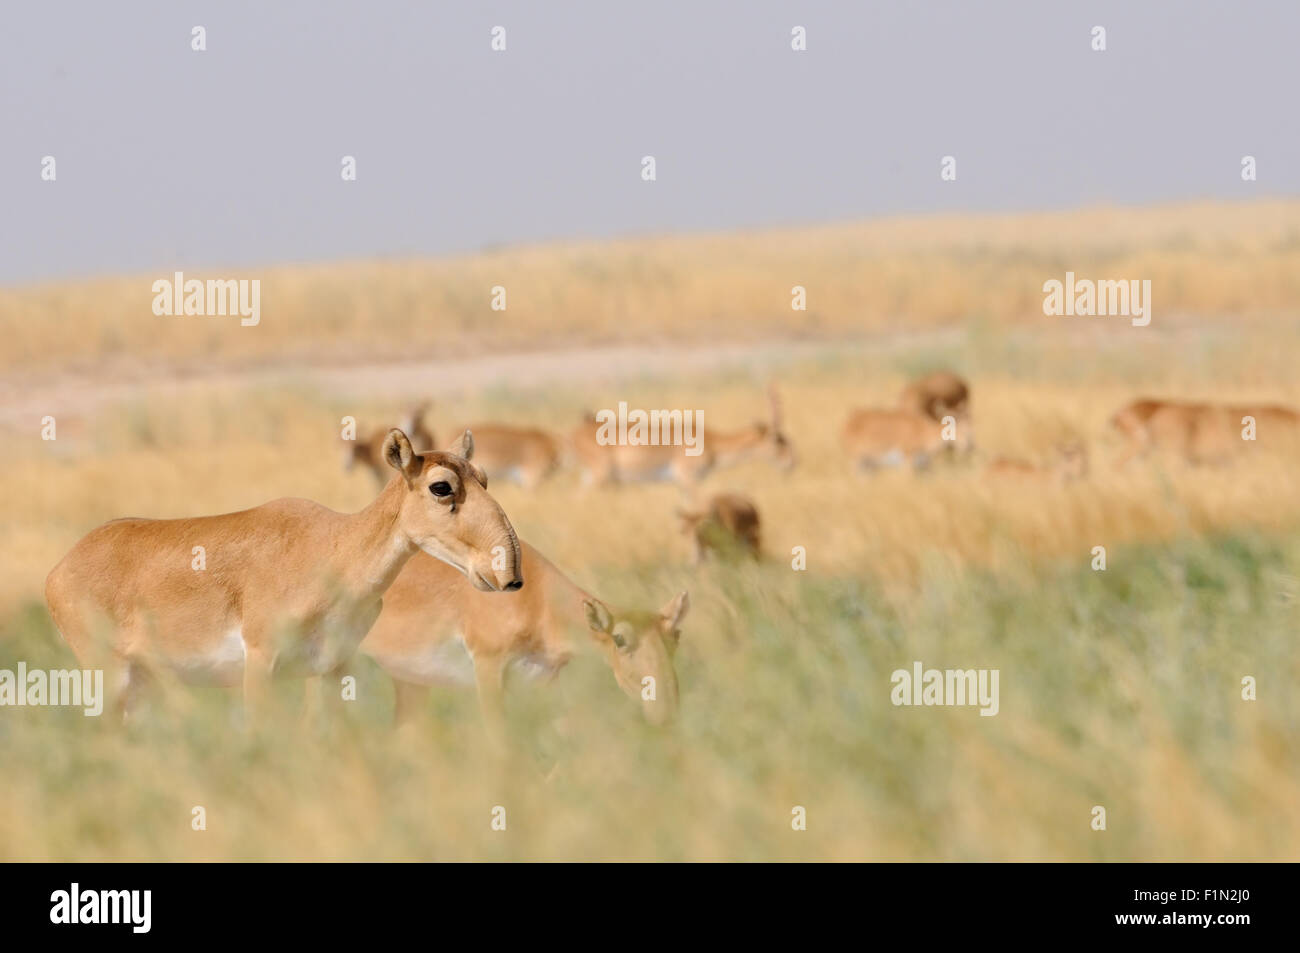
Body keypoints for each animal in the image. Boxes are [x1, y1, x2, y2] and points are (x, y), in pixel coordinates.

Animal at [45, 426, 522, 722]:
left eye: (482, 477)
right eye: (441, 486)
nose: (509, 576)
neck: (332, 549)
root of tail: (57, 572)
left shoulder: (330, 669)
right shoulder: (260, 663)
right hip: (109, 678)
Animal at [356, 543, 691, 743]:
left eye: (675, 636)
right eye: (620, 638)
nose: (666, 712)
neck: (537, 596)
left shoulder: (544, 680)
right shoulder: (488, 667)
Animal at [572, 382, 795, 483]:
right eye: (778, 439)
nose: (794, 461)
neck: (712, 443)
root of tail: (575, 433)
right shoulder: (688, 479)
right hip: (600, 476)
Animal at [842, 405, 977, 473]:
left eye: (970, 425)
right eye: (954, 426)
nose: (969, 446)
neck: (924, 431)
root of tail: (851, 418)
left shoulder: (923, 466)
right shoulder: (907, 460)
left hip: (869, 464)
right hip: (857, 461)